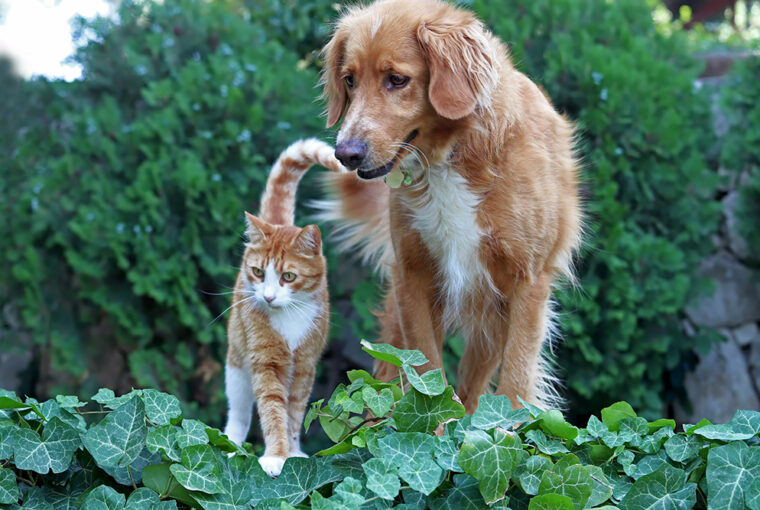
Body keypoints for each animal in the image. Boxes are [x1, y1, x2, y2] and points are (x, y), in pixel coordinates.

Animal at [223, 138, 344, 478]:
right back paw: (232, 445)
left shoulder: (304, 366)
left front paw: (292, 452)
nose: (267, 297)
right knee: (238, 413)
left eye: (288, 276)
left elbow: (294, 413)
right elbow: (273, 410)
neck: (289, 317)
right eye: (258, 272)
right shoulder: (266, 364)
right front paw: (276, 456)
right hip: (237, 367)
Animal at [314, 0, 580, 410]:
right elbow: (427, 373)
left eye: (397, 79)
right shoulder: (413, 280)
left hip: (493, 326)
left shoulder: (527, 286)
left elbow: (515, 385)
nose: (346, 154)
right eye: (349, 80)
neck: (454, 155)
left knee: (475, 391)